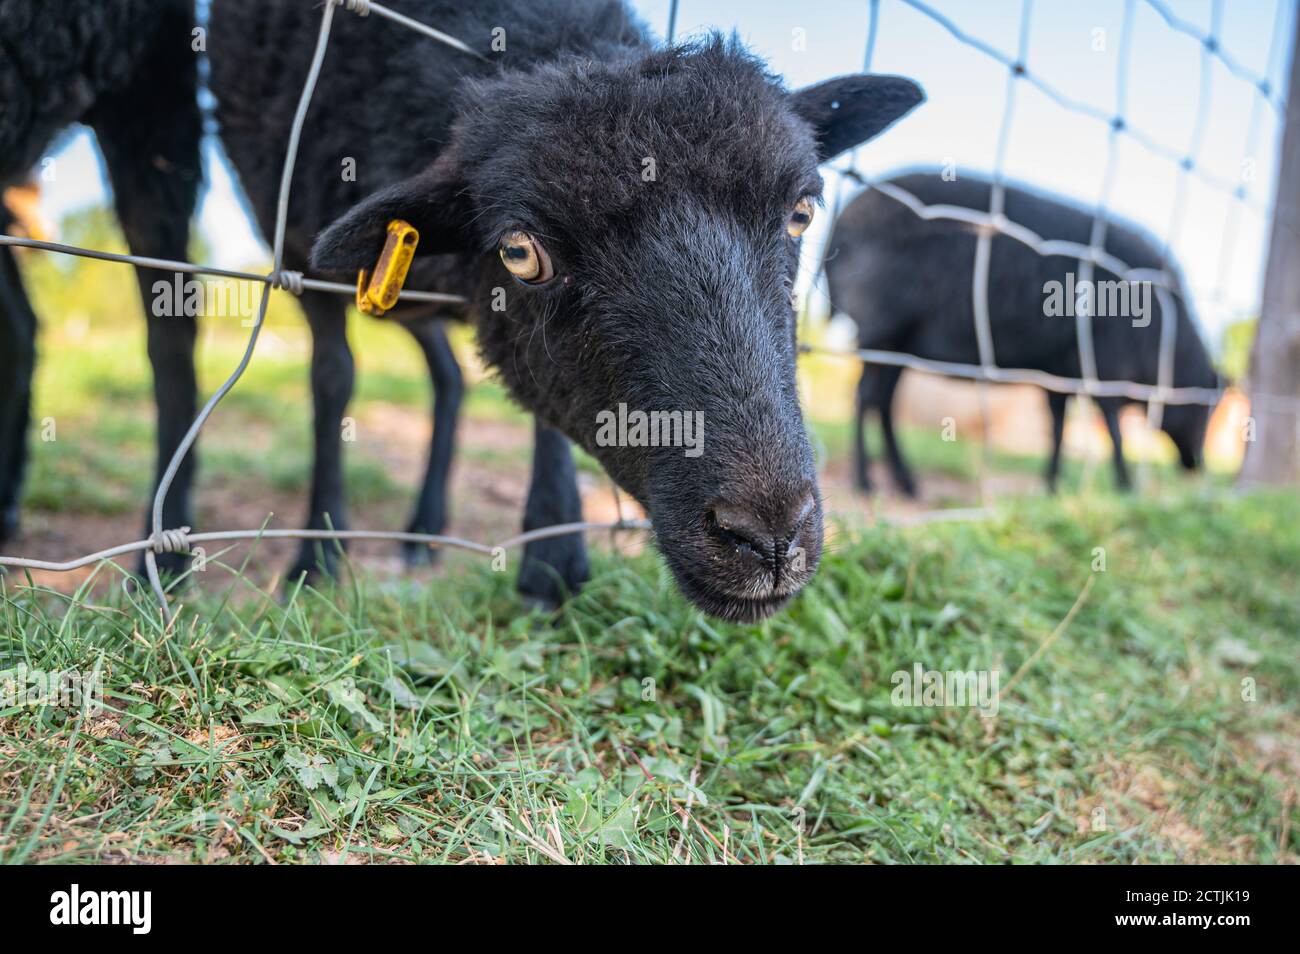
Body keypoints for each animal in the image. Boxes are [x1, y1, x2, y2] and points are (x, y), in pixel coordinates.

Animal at [210, 0, 925, 623]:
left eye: (801, 212)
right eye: (521, 253)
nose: (767, 538)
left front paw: (552, 558)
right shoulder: (295, 243)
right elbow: (333, 378)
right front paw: (317, 556)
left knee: (447, 376)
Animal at [821, 171, 1216, 496]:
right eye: (1205, 408)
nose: (1196, 465)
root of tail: (841, 222)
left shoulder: (1061, 370)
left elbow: (1057, 427)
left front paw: (1052, 485)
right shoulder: (1107, 369)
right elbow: (1114, 430)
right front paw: (1125, 487)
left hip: (900, 345)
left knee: (882, 403)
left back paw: (907, 483)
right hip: (879, 330)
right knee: (863, 398)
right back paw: (864, 481)